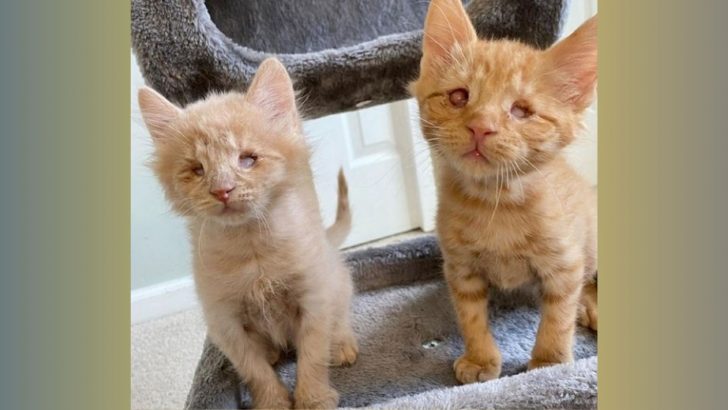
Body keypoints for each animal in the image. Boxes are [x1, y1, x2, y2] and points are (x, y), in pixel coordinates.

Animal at [137, 58, 358, 410]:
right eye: (197, 170)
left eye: (247, 159)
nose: (222, 190)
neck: (253, 253)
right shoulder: (223, 320)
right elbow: (253, 368)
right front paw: (272, 402)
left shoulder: (314, 296)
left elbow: (312, 354)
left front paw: (312, 398)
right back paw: (272, 351)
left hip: (337, 279)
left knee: (342, 312)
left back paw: (343, 344)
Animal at [410, 0, 596, 384]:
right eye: (458, 96)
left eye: (521, 111)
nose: (481, 127)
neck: (496, 205)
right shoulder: (459, 267)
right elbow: (470, 316)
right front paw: (480, 358)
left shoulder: (565, 263)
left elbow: (559, 317)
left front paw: (549, 364)